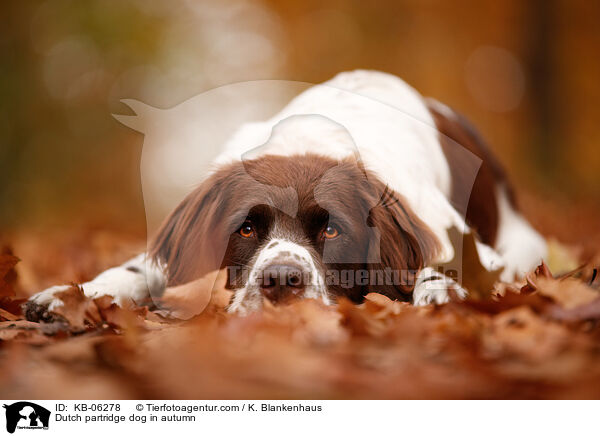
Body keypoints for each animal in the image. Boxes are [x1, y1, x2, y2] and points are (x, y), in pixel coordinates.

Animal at [25, 70, 548, 316]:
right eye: (246, 228)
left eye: (333, 231)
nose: (280, 280)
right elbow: (142, 269)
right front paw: (75, 295)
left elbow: (432, 268)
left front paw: (439, 293)